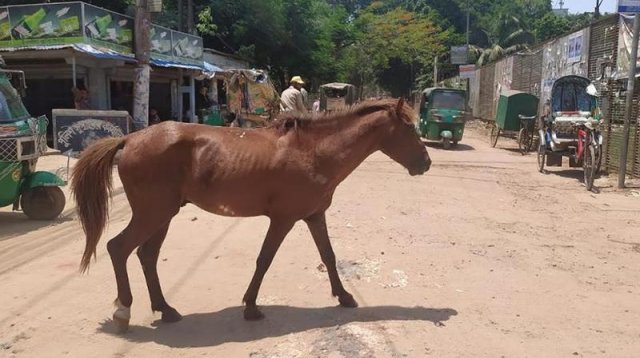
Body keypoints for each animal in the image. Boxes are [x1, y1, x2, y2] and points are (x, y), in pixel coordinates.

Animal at [71, 96, 430, 332]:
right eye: (409, 128)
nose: (425, 163)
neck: (314, 151)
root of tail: (129, 138)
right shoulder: (283, 220)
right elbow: (264, 260)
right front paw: (252, 307)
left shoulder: (314, 216)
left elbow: (328, 256)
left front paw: (344, 296)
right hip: (153, 213)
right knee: (118, 248)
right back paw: (124, 311)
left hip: (163, 216)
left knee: (146, 256)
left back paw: (166, 309)